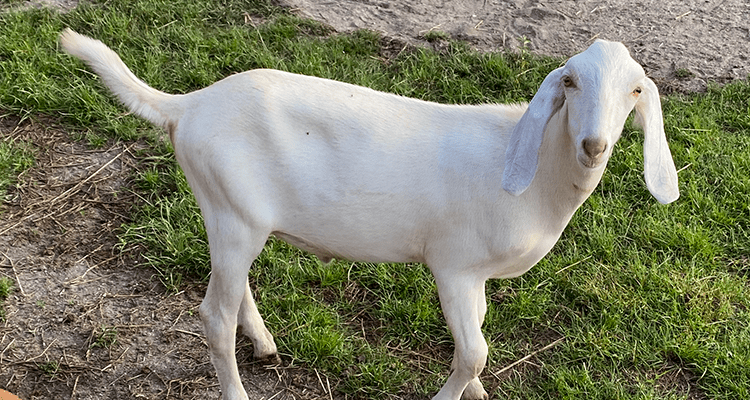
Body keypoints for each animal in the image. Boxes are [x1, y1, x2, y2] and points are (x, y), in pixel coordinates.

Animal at [59, 28, 679, 400]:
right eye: (570, 82)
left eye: (634, 91)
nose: (594, 145)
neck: (534, 179)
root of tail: (187, 106)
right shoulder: (453, 265)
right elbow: (474, 351)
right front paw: (454, 392)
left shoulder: (475, 274)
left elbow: (478, 332)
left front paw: (476, 394)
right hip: (234, 216)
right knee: (213, 314)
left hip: (230, 212)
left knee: (233, 292)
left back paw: (263, 343)